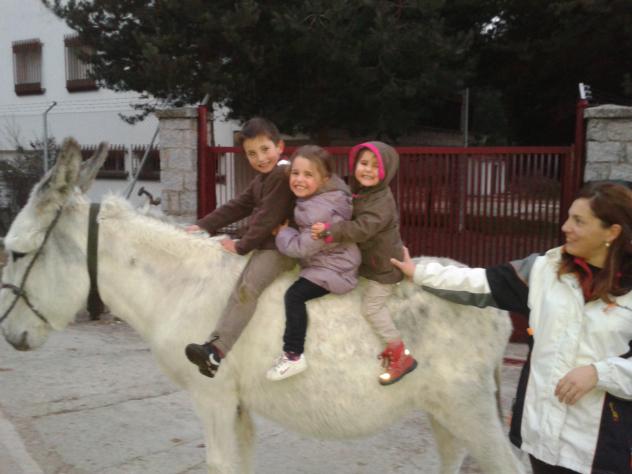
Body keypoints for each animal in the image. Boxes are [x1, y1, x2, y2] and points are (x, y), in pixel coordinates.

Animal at [0, 138, 526, 474]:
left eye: (16, 253)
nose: (9, 335)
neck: (178, 284)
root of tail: (496, 305)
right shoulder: (237, 406)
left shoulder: (211, 397)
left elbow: (219, 464)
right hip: (443, 412)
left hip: (468, 410)